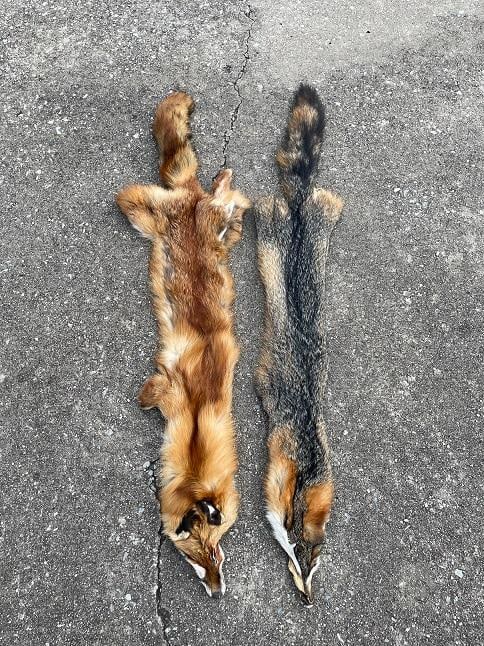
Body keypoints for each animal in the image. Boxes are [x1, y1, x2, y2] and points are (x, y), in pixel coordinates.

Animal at [116, 91, 250, 597]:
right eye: (196, 560)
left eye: (217, 553)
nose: (217, 592)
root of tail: (189, 197)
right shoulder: (168, 392)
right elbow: (147, 391)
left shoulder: (170, 393)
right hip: (138, 207)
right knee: (219, 196)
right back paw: (218, 179)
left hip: (151, 209)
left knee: (230, 200)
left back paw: (221, 181)